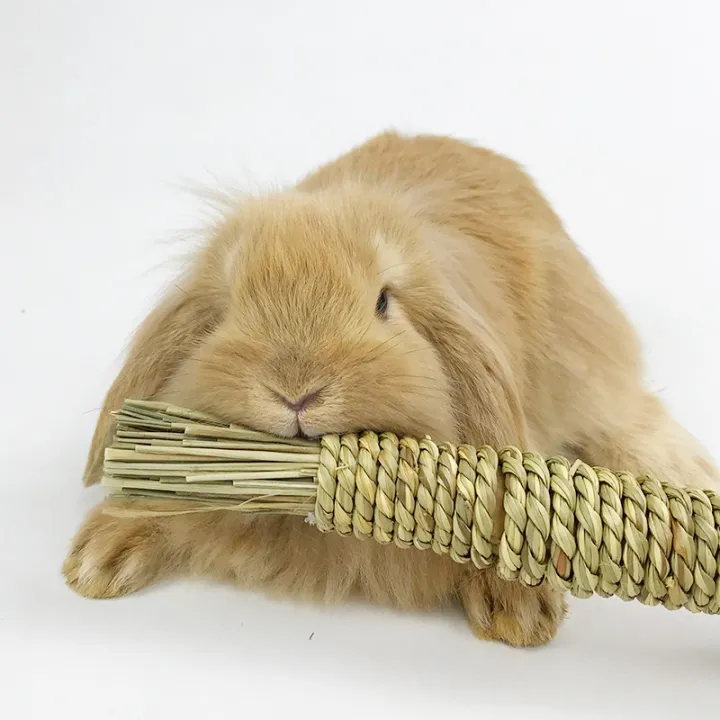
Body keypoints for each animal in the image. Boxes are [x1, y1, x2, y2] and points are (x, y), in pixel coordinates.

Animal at [63, 130, 720, 647]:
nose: (297, 390)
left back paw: (688, 473)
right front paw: (97, 561)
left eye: (383, 302)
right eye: (226, 309)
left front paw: (518, 612)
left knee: (627, 415)